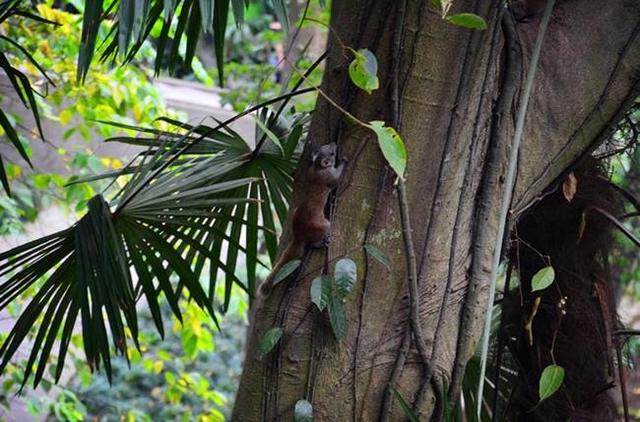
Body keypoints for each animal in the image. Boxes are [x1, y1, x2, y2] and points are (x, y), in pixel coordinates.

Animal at [258, 143, 344, 296]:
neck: (317, 167)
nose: (335, 143)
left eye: (326, 146)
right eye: (331, 153)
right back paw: (322, 242)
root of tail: (298, 235)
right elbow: (337, 177)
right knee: (314, 242)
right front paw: (343, 161)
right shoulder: (329, 176)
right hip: (324, 225)